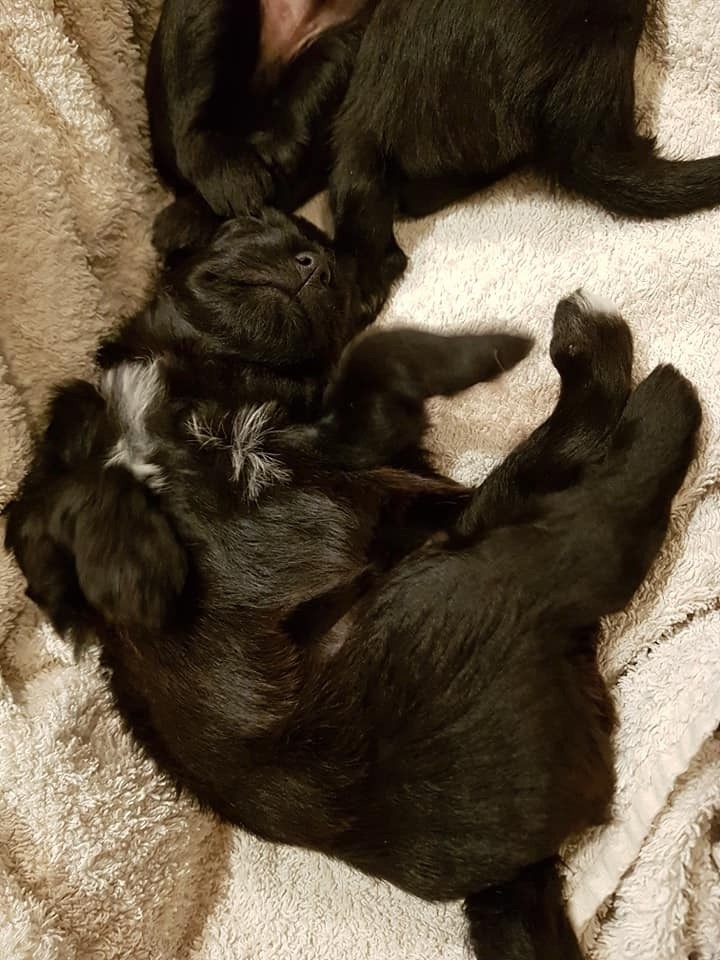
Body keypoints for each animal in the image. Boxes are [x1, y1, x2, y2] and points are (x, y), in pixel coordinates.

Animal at [4, 208, 702, 958]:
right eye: (249, 224)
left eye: (340, 279)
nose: (315, 265)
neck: (222, 378)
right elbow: (65, 492)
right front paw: (133, 572)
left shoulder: (349, 445)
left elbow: (378, 360)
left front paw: (478, 349)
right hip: (460, 585)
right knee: (588, 522)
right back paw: (630, 375)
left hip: (448, 578)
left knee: (586, 513)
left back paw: (615, 365)